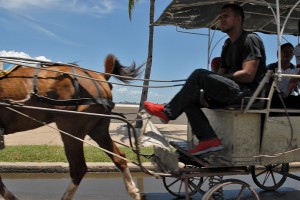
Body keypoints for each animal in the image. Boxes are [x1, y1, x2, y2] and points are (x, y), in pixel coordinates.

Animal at [0, 54, 143, 199]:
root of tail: (100, 76)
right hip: (98, 128)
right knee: (119, 157)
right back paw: (133, 191)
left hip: (71, 128)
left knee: (78, 168)